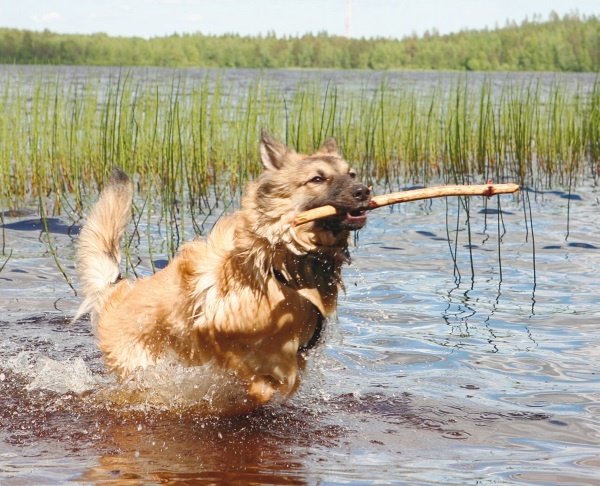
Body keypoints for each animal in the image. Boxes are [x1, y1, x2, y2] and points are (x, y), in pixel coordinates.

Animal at [76, 131, 370, 416]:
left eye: (352, 174)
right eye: (317, 179)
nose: (363, 191)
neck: (279, 265)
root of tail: (115, 289)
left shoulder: (294, 355)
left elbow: (280, 381)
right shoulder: (214, 334)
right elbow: (256, 386)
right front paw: (233, 402)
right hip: (141, 366)